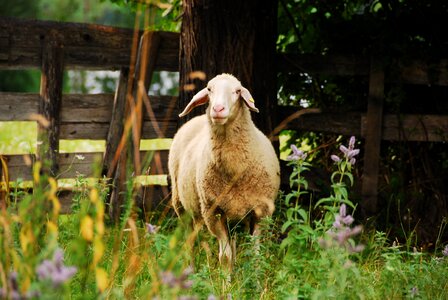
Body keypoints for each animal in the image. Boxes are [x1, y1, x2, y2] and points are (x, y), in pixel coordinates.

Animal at [168, 74, 280, 268]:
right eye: (209, 89)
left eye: (237, 91)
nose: (217, 109)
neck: (235, 170)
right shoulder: (214, 212)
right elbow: (225, 257)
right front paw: (226, 277)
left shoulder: (260, 212)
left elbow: (255, 256)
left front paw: (255, 277)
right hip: (183, 208)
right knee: (190, 244)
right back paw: (190, 270)